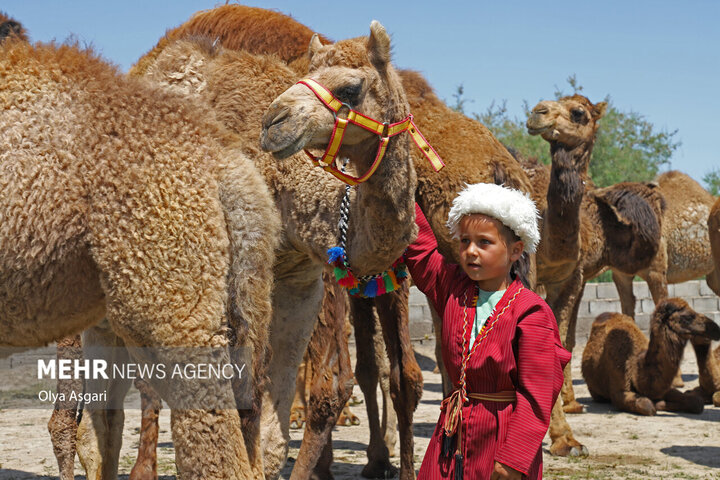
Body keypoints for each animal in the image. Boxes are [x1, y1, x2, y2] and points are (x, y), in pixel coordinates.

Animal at [580, 298, 720, 414]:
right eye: (687, 317)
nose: (716, 328)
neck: (636, 367)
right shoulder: (619, 391)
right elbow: (648, 406)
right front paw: (657, 404)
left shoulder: (663, 388)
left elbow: (697, 402)